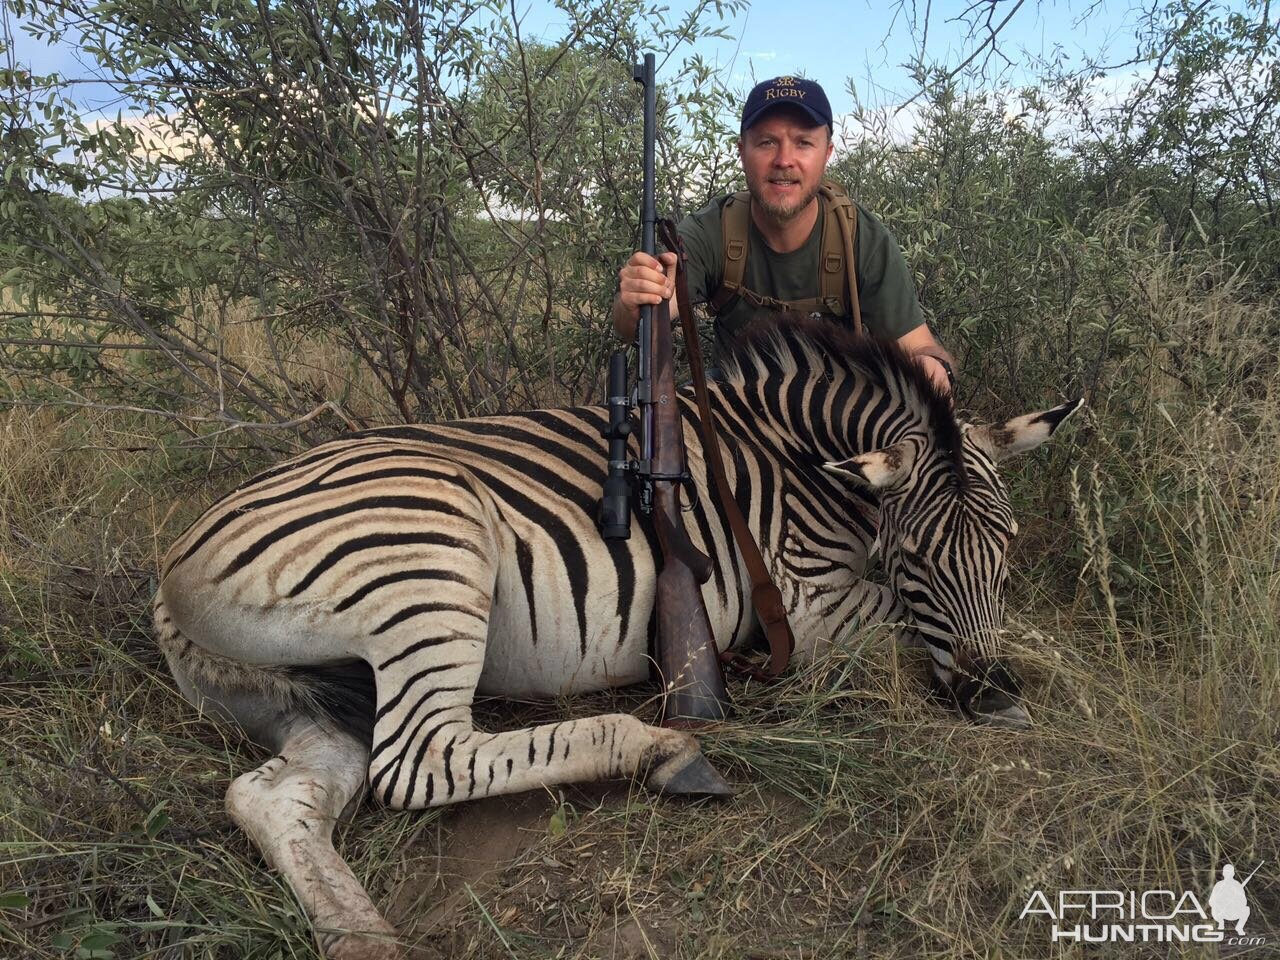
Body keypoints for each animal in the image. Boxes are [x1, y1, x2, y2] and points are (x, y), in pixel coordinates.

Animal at [152, 320, 1080, 957]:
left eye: (1008, 545)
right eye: (917, 555)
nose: (989, 695)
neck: (798, 463)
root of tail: (172, 567)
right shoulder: (812, 604)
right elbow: (914, 628)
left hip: (310, 690)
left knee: (276, 796)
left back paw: (362, 936)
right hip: (432, 558)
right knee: (420, 761)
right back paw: (664, 752)